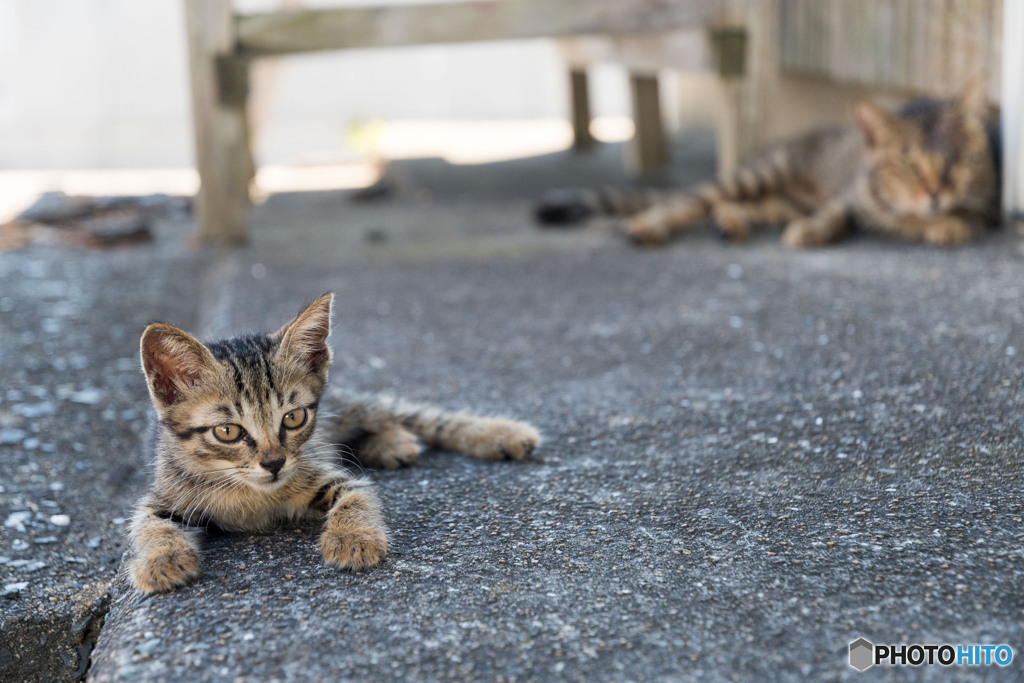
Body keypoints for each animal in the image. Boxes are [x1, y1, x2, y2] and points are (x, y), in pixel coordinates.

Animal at [128, 294, 540, 593]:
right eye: (228, 432)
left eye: (293, 418)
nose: (274, 463)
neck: (251, 495)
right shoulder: (165, 493)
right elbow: (148, 524)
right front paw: (161, 561)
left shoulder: (326, 470)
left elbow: (356, 496)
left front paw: (354, 537)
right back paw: (393, 444)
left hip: (356, 410)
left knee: (422, 418)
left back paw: (502, 434)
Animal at [540, 79, 995, 248]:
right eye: (907, 163)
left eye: (956, 161)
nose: (935, 192)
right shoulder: (848, 196)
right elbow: (838, 217)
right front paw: (811, 232)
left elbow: (962, 217)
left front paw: (947, 223)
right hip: (761, 173)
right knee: (687, 201)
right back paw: (648, 224)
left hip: (784, 200)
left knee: (734, 207)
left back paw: (730, 223)